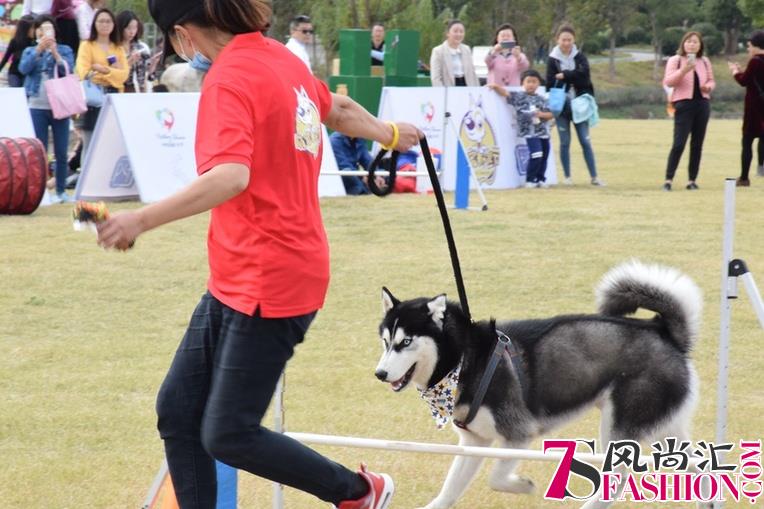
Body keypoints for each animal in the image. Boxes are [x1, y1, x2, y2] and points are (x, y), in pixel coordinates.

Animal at [374, 262, 708, 508]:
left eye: (406, 342)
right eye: (386, 342)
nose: (379, 373)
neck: (465, 359)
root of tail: (661, 330)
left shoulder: (519, 434)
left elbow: (496, 478)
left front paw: (523, 485)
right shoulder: (474, 441)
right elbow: (449, 491)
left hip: (621, 425)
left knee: (617, 478)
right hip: (662, 426)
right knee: (701, 464)